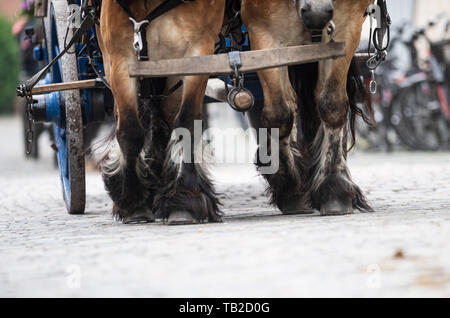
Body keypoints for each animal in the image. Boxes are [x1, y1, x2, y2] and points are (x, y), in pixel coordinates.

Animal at [241, 0, 374, 215]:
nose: (316, 13)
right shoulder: (263, 31)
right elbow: (279, 115)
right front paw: (289, 184)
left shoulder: (346, 25)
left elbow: (332, 106)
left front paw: (334, 188)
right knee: (290, 103)